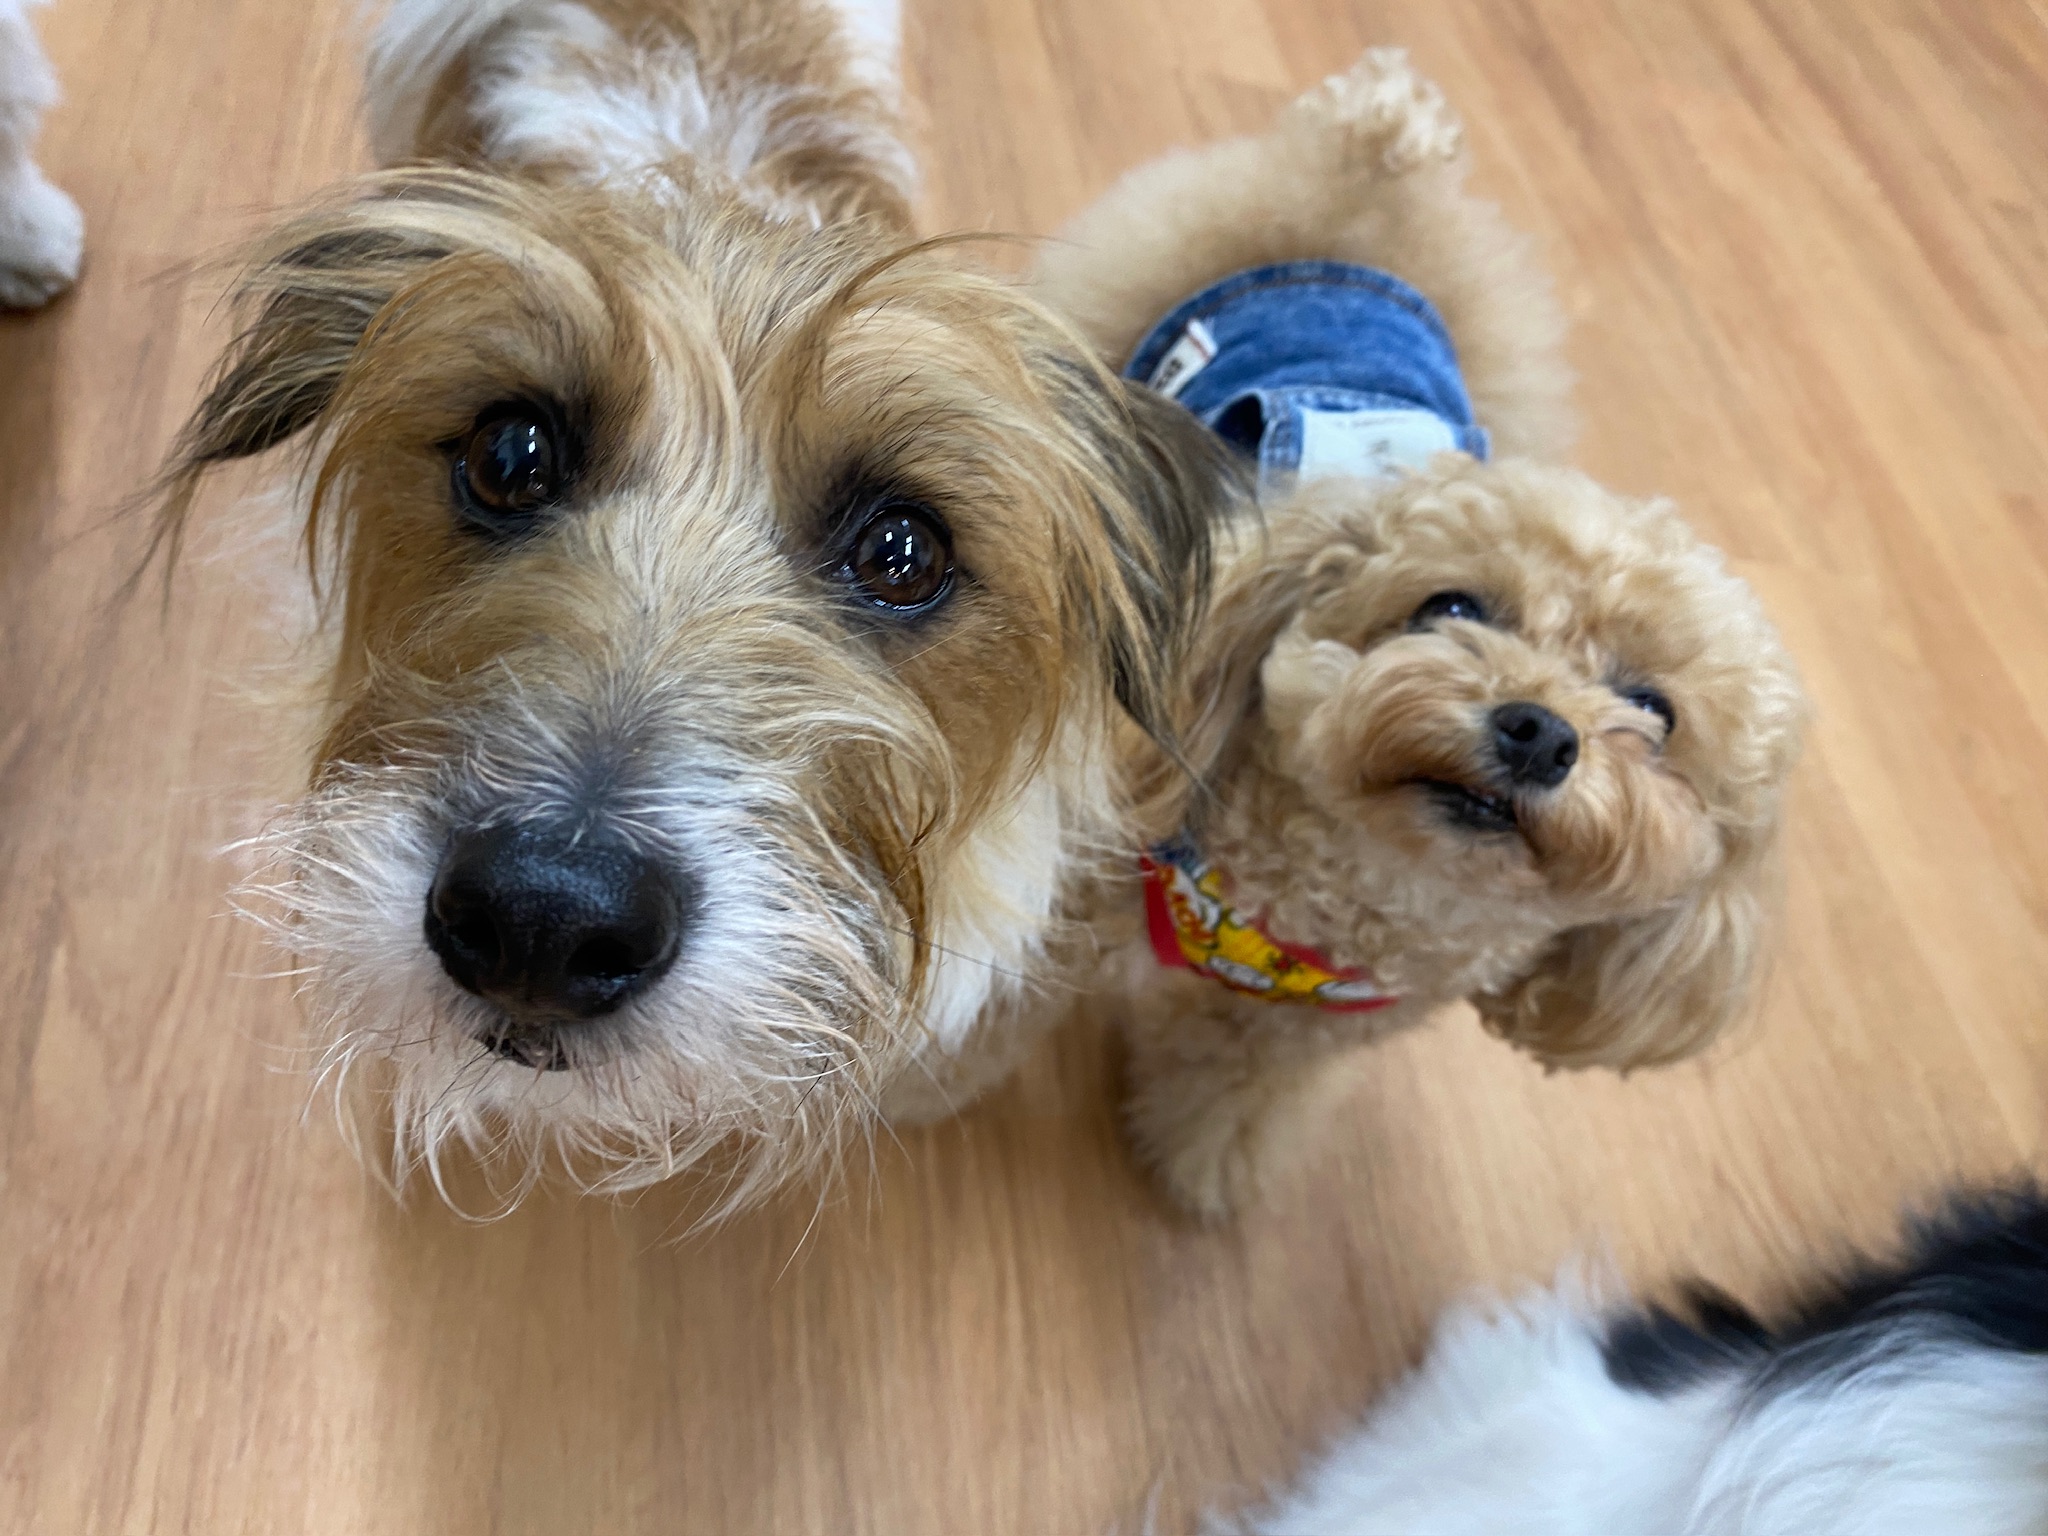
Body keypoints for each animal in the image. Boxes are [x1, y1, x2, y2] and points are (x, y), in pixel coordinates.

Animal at [1033, 52, 1806, 1219]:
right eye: (1449, 609)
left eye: (1653, 711)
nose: (1538, 731)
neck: (1334, 908)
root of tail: (1378, 165)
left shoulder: (1299, 1031)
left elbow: (1238, 1089)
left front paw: (1205, 1165)